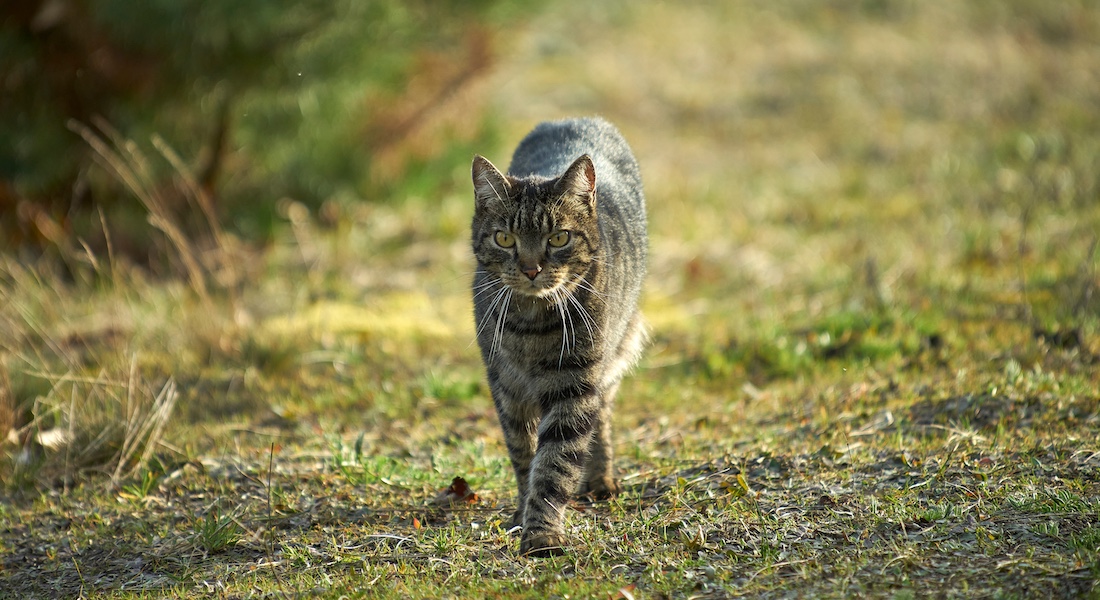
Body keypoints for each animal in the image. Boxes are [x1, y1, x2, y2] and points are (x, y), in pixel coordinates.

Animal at [470, 116, 642, 557]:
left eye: (559, 237)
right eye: (505, 238)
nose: (531, 268)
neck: (530, 326)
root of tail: (576, 118)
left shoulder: (574, 385)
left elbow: (555, 463)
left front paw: (542, 533)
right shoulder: (505, 386)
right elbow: (523, 454)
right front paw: (522, 512)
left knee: (603, 415)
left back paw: (600, 478)